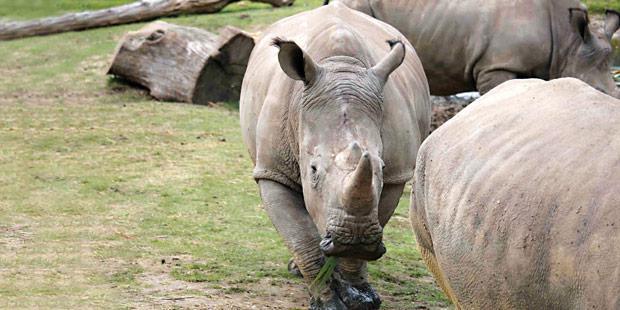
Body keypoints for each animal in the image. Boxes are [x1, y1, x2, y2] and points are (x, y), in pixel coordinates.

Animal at [239, 3, 432, 310]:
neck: (341, 67)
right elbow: (301, 238)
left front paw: (360, 296)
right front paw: (327, 301)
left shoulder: (396, 175)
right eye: (313, 169)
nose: (353, 238)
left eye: (381, 166)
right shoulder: (272, 170)